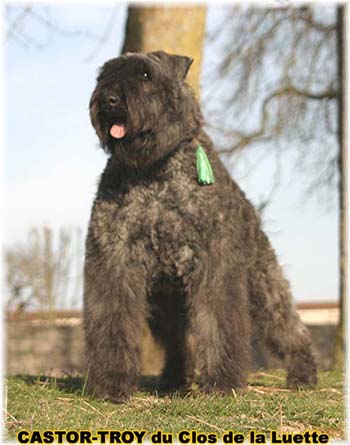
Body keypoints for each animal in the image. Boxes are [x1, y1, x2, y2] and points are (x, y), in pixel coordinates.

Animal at [84, 50, 318, 400]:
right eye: (103, 76)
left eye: (145, 75)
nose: (110, 100)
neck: (156, 170)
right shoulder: (115, 259)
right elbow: (113, 321)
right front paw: (111, 383)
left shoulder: (214, 262)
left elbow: (217, 323)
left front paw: (221, 383)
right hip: (166, 303)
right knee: (179, 343)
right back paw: (174, 378)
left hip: (262, 281)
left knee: (285, 322)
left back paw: (303, 373)